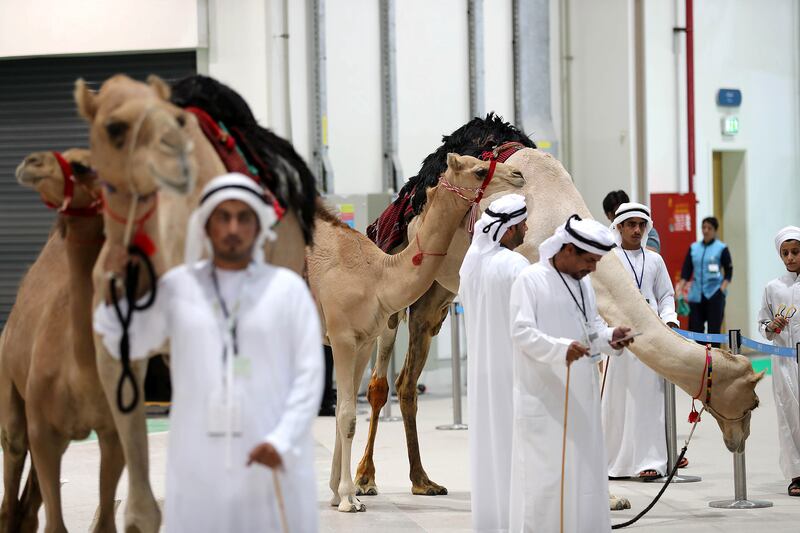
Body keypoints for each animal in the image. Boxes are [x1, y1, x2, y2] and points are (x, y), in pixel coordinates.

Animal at [1, 147, 123, 532]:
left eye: (83, 165)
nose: (31, 163)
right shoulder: (42, 428)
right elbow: (56, 524)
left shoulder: (113, 432)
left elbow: (105, 523)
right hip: (12, 396)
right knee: (12, 472)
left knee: (26, 508)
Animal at [306, 151, 524, 512]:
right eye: (480, 170)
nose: (519, 175)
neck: (378, 275)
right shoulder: (341, 337)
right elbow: (349, 414)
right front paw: (350, 498)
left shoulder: (363, 340)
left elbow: (342, 412)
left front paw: (338, 493)